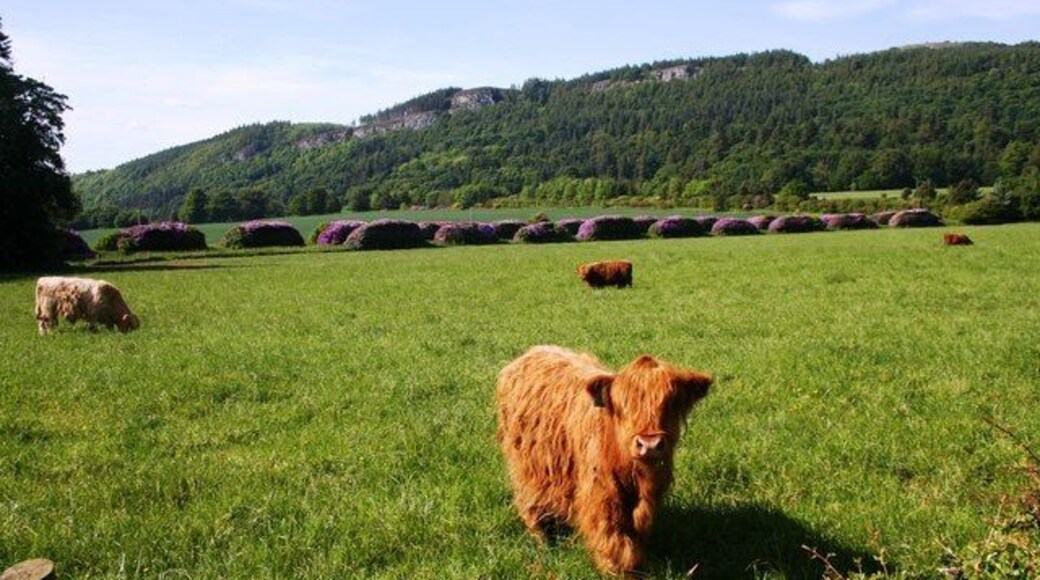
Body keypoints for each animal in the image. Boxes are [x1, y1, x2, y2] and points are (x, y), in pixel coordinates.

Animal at [496, 345, 712, 574]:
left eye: (671, 403)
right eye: (622, 405)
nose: (650, 444)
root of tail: (534, 351)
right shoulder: (601, 490)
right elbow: (611, 533)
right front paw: (616, 567)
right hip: (525, 467)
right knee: (529, 500)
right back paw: (542, 538)